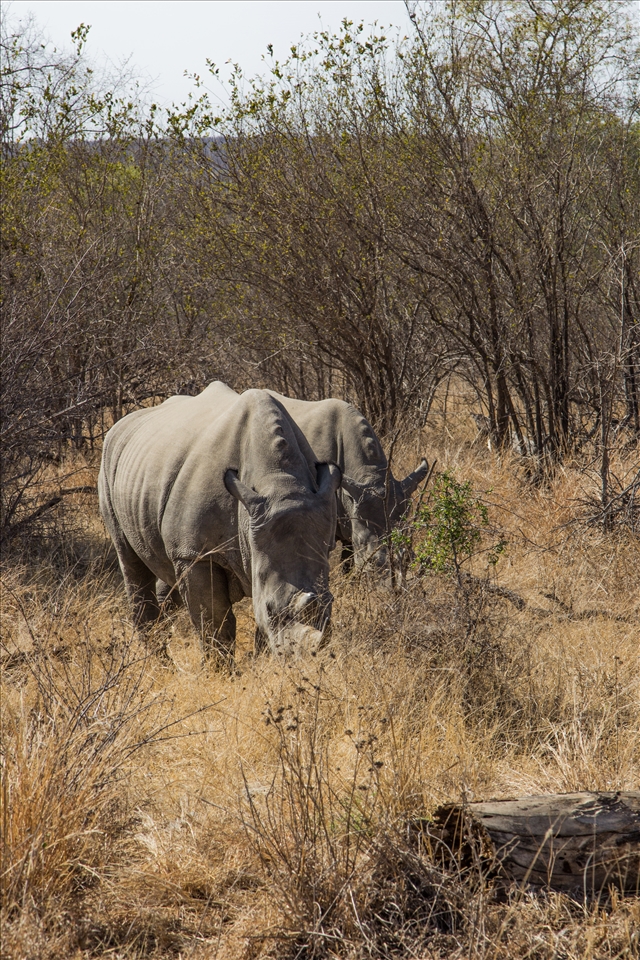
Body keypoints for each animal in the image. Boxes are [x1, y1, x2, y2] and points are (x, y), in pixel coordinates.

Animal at [98, 385, 341, 666]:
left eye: (331, 602)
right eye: (270, 610)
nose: (303, 661)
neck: (280, 480)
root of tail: (120, 425)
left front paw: (262, 664)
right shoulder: (196, 553)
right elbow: (214, 622)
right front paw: (220, 670)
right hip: (108, 464)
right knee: (130, 560)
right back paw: (158, 664)